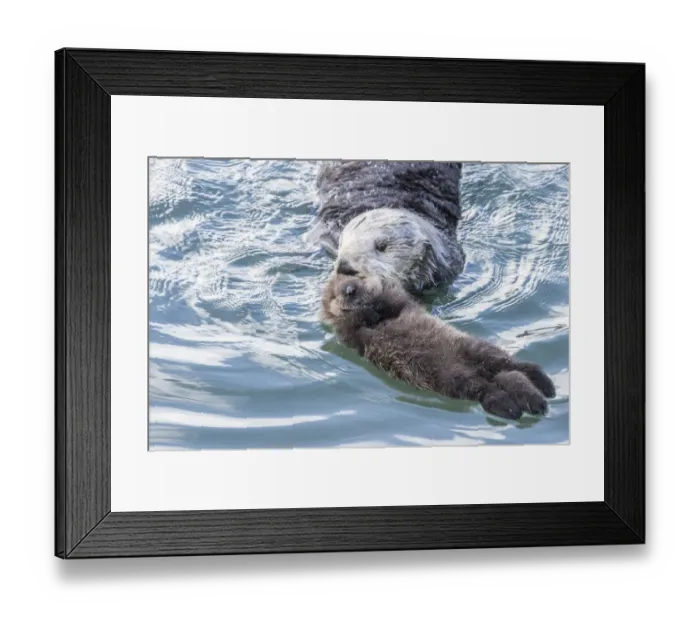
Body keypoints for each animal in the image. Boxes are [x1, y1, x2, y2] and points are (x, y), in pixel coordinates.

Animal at [322, 274, 556, 420]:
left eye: (356, 277)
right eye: (335, 293)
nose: (350, 290)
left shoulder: (399, 301)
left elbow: (395, 301)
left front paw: (375, 302)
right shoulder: (350, 336)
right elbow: (352, 325)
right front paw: (362, 311)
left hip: (474, 348)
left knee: (509, 366)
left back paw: (542, 385)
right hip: (446, 377)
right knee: (485, 387)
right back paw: (513, 406)